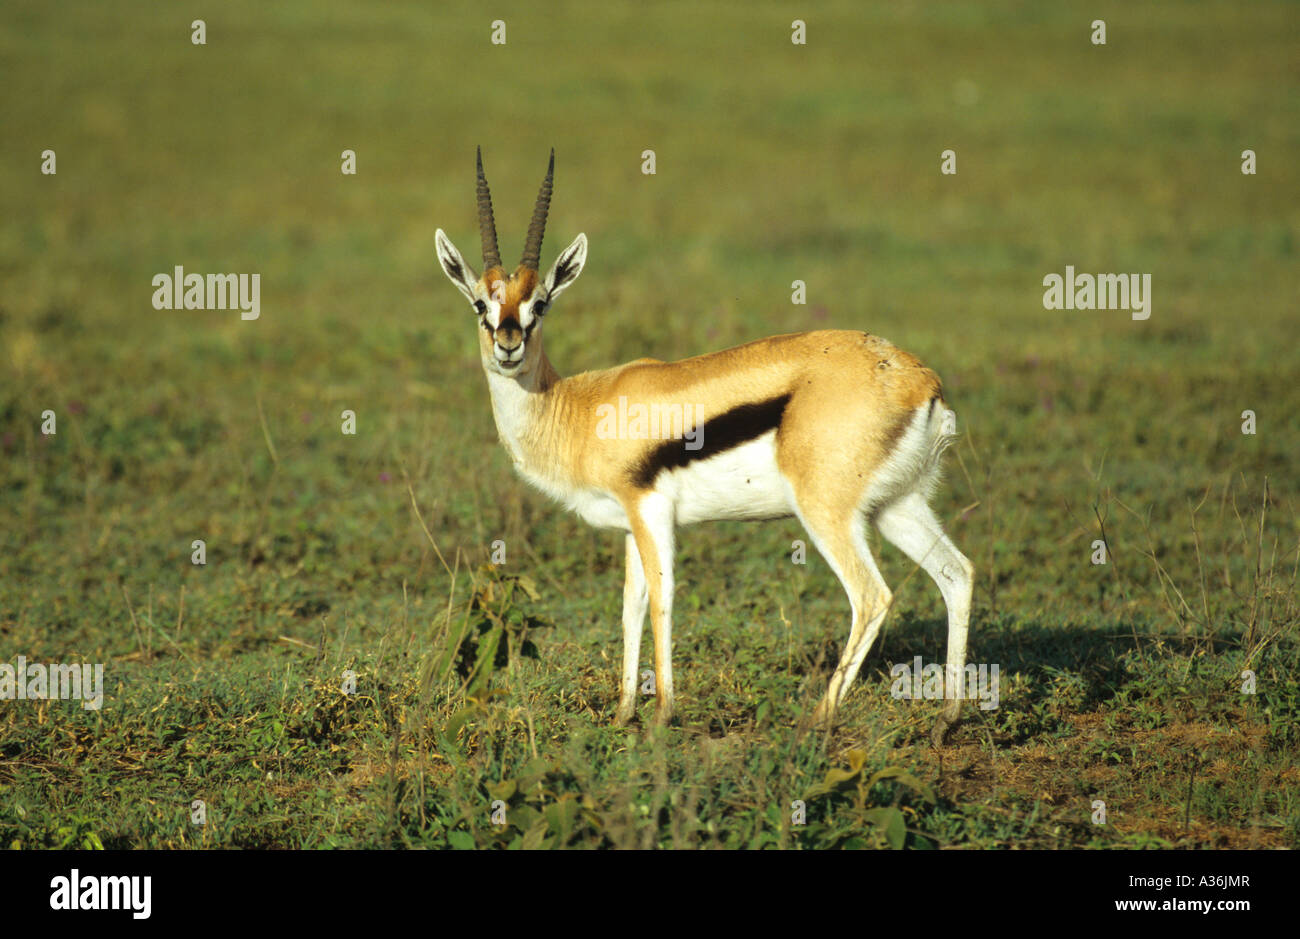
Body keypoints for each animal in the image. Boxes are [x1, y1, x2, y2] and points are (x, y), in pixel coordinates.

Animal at [435, 149, 974, 742]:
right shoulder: (631, 524)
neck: (578, 407)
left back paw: (817, 720)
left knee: (871, 595)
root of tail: (919, 380)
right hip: (896, 506)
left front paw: (661, 717)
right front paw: (623, 714)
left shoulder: (651, 512)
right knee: (957, 574)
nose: (508, 345)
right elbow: (631, 606)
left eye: (541, 303)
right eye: (481, 304)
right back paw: (946, 719)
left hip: (828, 513)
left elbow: (662, 600)